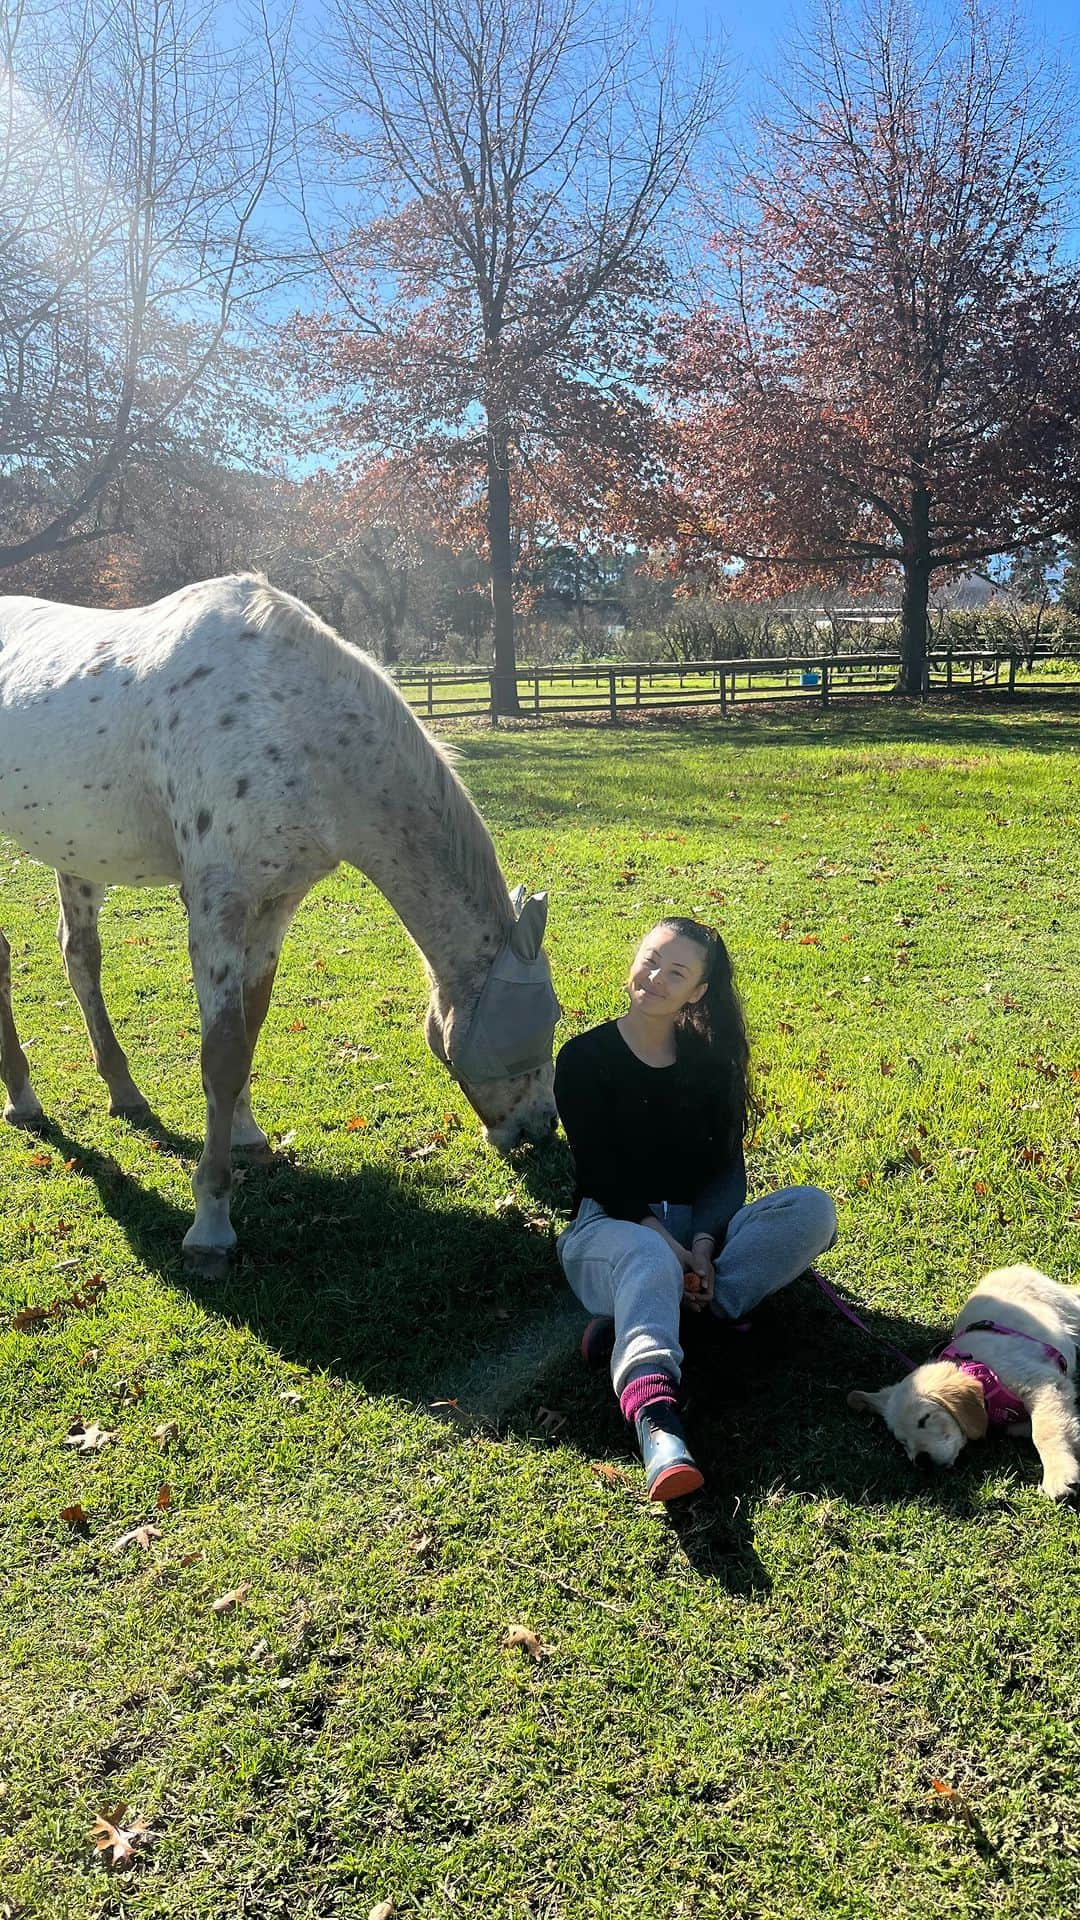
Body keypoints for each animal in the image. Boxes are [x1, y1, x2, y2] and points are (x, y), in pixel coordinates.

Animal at [849, 1259, 1076, 1497]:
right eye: (902, 1442)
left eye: (925, 1419)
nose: (921, 1461)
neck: (981, 1371)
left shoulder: (1042, 1382)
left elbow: (1045, 1431)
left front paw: (1059, 1474)